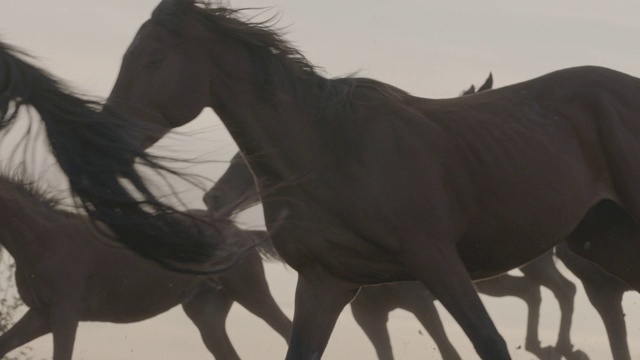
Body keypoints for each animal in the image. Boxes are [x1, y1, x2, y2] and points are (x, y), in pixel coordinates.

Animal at [0, 169, 290, 360]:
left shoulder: (65, 314)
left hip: (250, 292)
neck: (43, 239)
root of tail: (242, 232)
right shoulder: (41, 315)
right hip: (207, 313)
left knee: (287, 330)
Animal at [102, 1, 640, 358]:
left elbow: (488, 342)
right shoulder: (325, 283)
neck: (333, 151)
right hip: (605, 239)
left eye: (153, 59)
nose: (105, 132)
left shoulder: (436, 260)